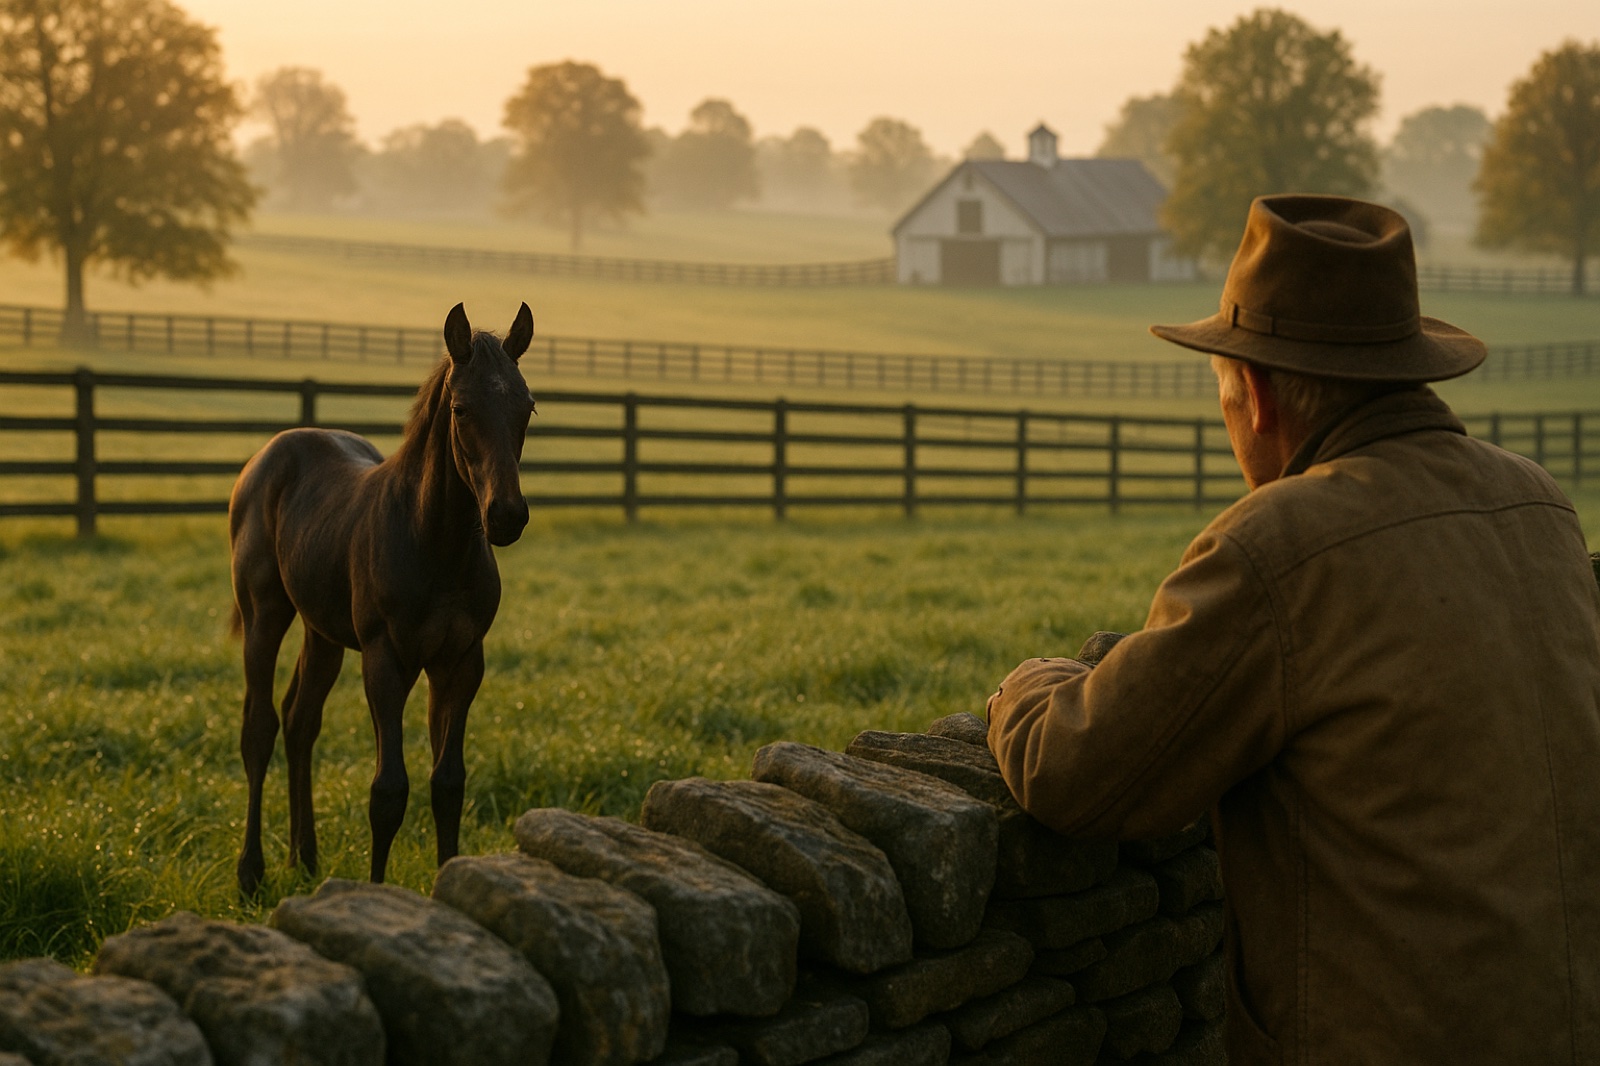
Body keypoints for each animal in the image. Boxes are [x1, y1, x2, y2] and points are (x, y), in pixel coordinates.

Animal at [228, 302, 536, 895]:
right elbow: (388, 790)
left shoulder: (461, 662)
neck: (436, 544)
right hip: (264, 613)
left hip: (322, 632)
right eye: (461, 409)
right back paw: (251, 872)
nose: (506, 516)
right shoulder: (385, 658)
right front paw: (375, 893)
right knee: (260, 727)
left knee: (300, 721)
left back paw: (305, 859)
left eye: (527, 407)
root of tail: (267, 455)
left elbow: (448, 783)